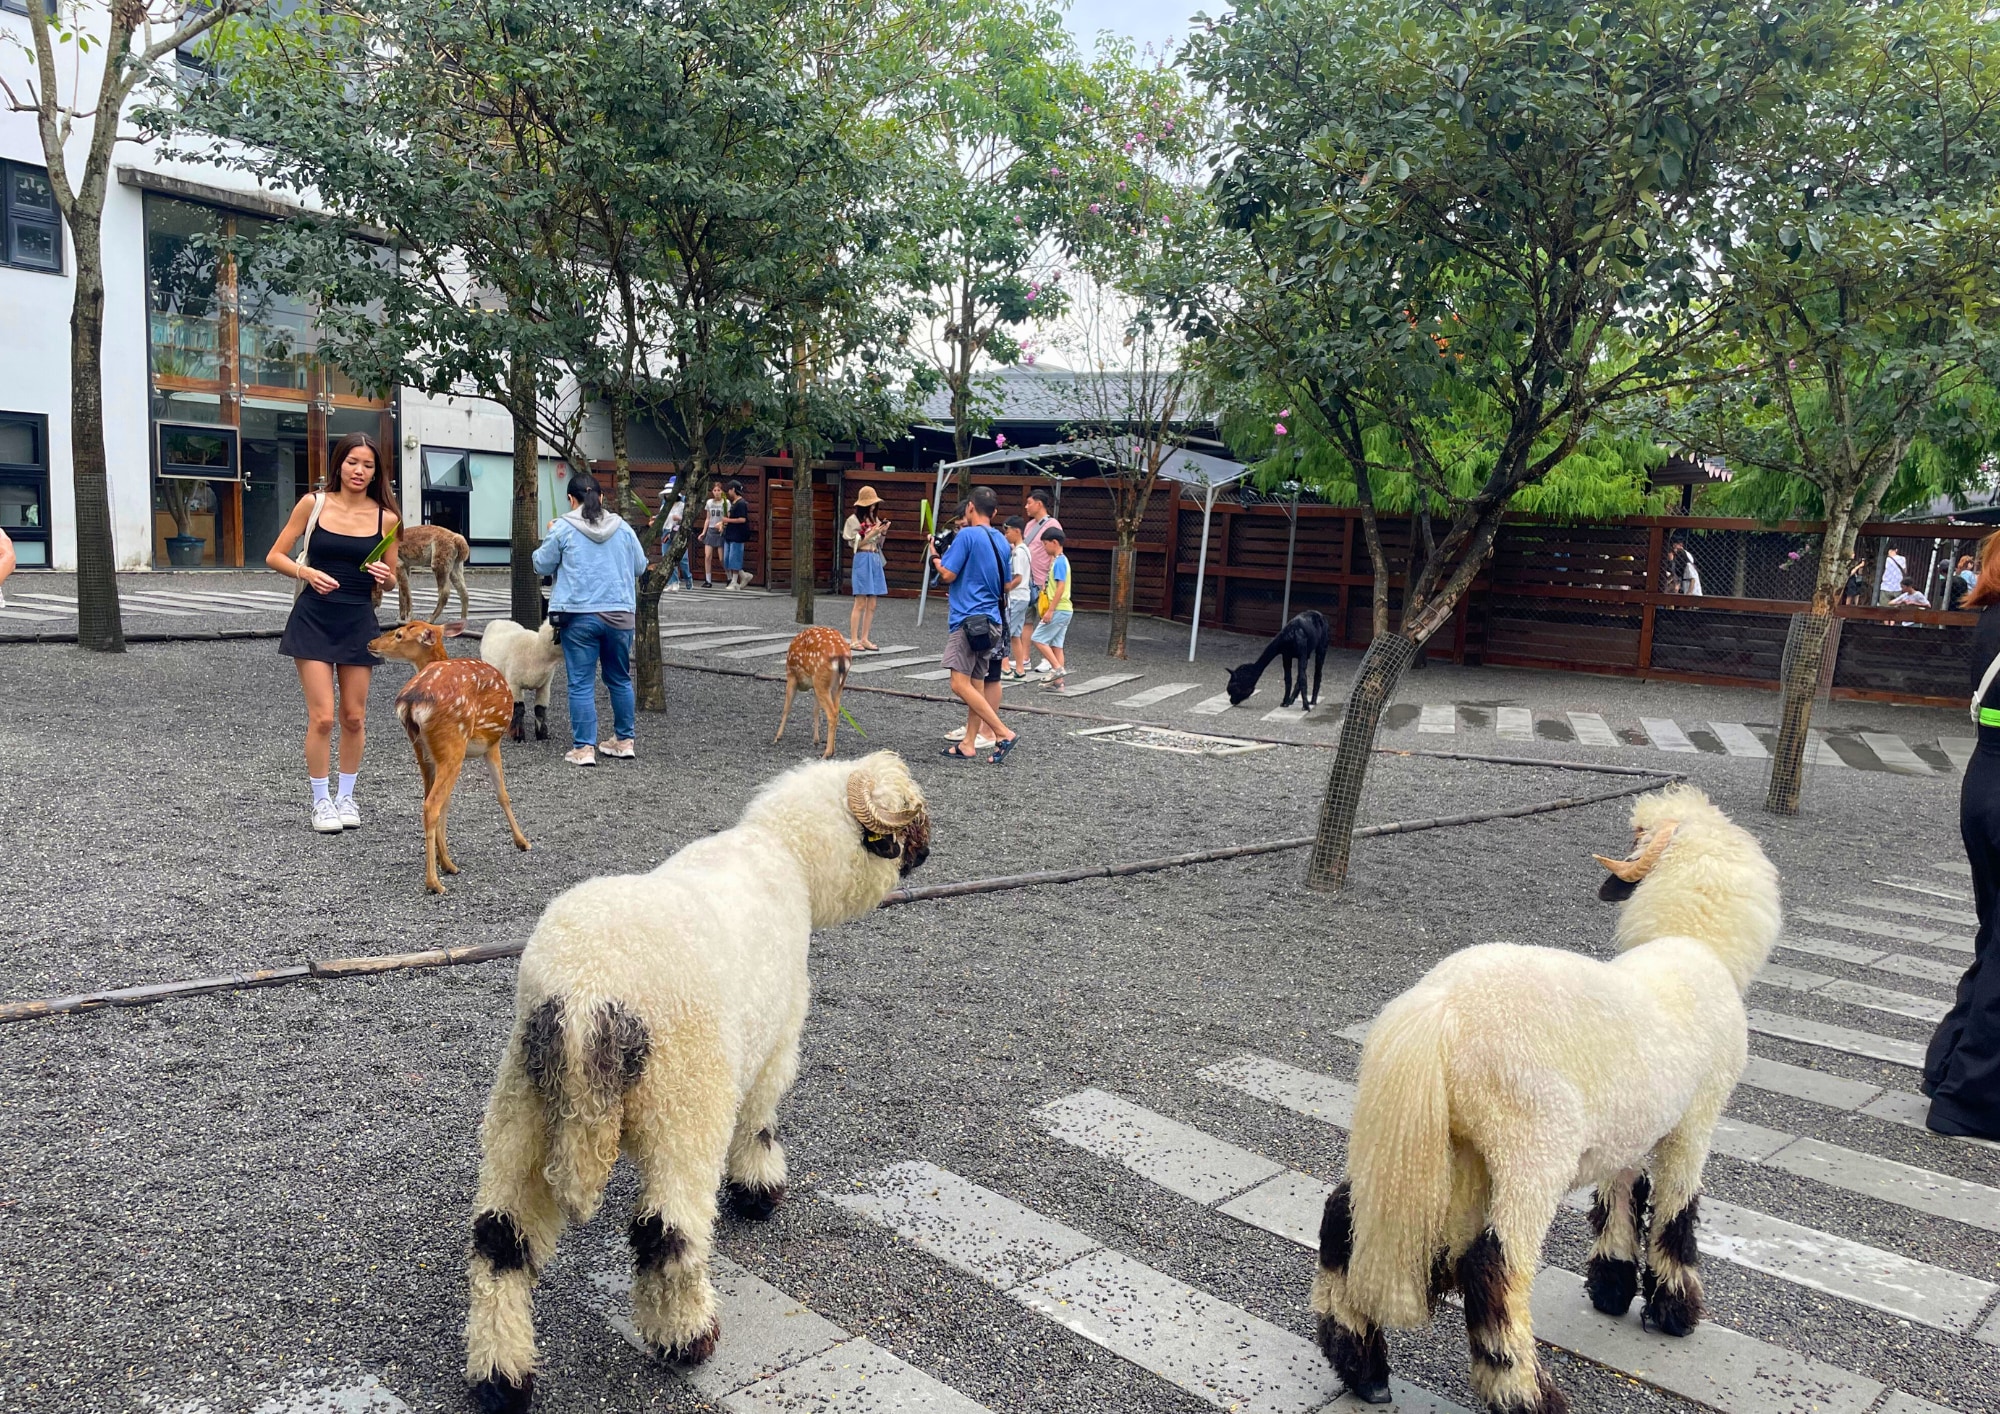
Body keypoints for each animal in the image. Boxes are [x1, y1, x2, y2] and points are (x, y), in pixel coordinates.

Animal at [366, 624, 528, 896]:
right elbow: (502, 794)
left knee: (429, 800)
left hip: (424, 750)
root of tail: (411, 701)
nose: (370, 643)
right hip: (453, 745)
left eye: (399, 634)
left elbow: (450, 803)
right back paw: (433, 882)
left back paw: (445, 866)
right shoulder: (492, 742)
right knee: (431, 805)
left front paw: (446, 860)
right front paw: (522, 841)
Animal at [460, 748, 928, 1408]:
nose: (926, 857)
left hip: (520, 1107)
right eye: (904, 834)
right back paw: (689, 1338)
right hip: (683, 1107)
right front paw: (759, 1192)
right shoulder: (775, 1043)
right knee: (666, 1235)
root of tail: (586, 997)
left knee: (500, 1241)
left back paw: (502, 1379)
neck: (785, 851)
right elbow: (759, 1123)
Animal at [772, 632, 852, 764]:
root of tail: (841, 657)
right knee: (836, 711)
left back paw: (826, 753)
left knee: (832, 714)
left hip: (821, 679)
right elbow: (815, 710)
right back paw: (832, 750)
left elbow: (786, 708)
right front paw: (816, 740)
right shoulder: (814, 687)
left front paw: (777, 737)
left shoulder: (791, 676)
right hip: (837, 685)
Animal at [1312, 784, 1784, 1414]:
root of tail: (1439, 1009)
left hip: (1420, 1144)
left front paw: (1611, 1285)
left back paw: (1361, 1367)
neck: (1690, 941)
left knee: (1344, 1219)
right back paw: (1526, 1394)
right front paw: (1674, 1310)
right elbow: (1676, 1211)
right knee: (1494, 1266)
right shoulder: (1694, 1124)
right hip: (1530, 1153)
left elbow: (1621, 1193)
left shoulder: (1625, 1128)